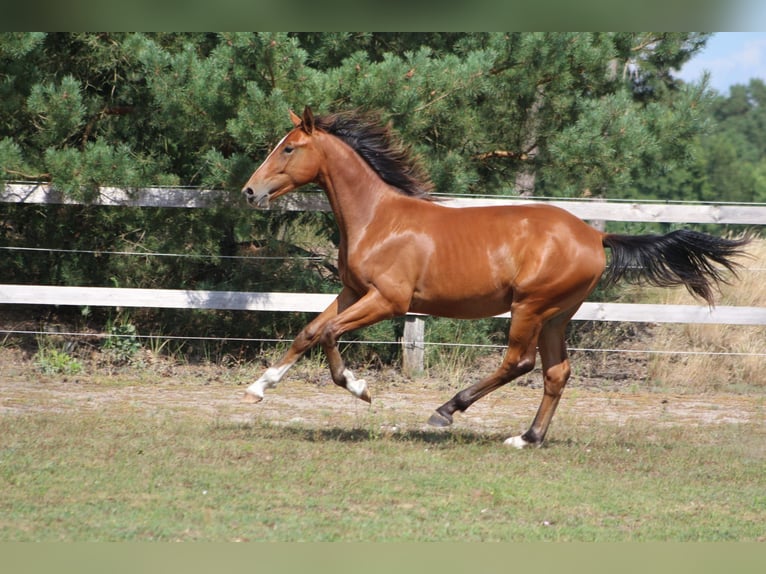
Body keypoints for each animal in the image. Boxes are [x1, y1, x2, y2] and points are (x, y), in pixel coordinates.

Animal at [240, 108, 752, 450]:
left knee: (518, 363)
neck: (378, 219)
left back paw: (446, 412)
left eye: (289, 147)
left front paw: (359, 389)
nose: (249, 191)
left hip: (530, 306)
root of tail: (595, 234)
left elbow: (328, 333)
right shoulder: (352, 291)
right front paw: (259, 387)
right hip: (556, 315)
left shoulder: (388, 300)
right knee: (556, 372)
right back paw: (527, 438)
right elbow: (308, 330)